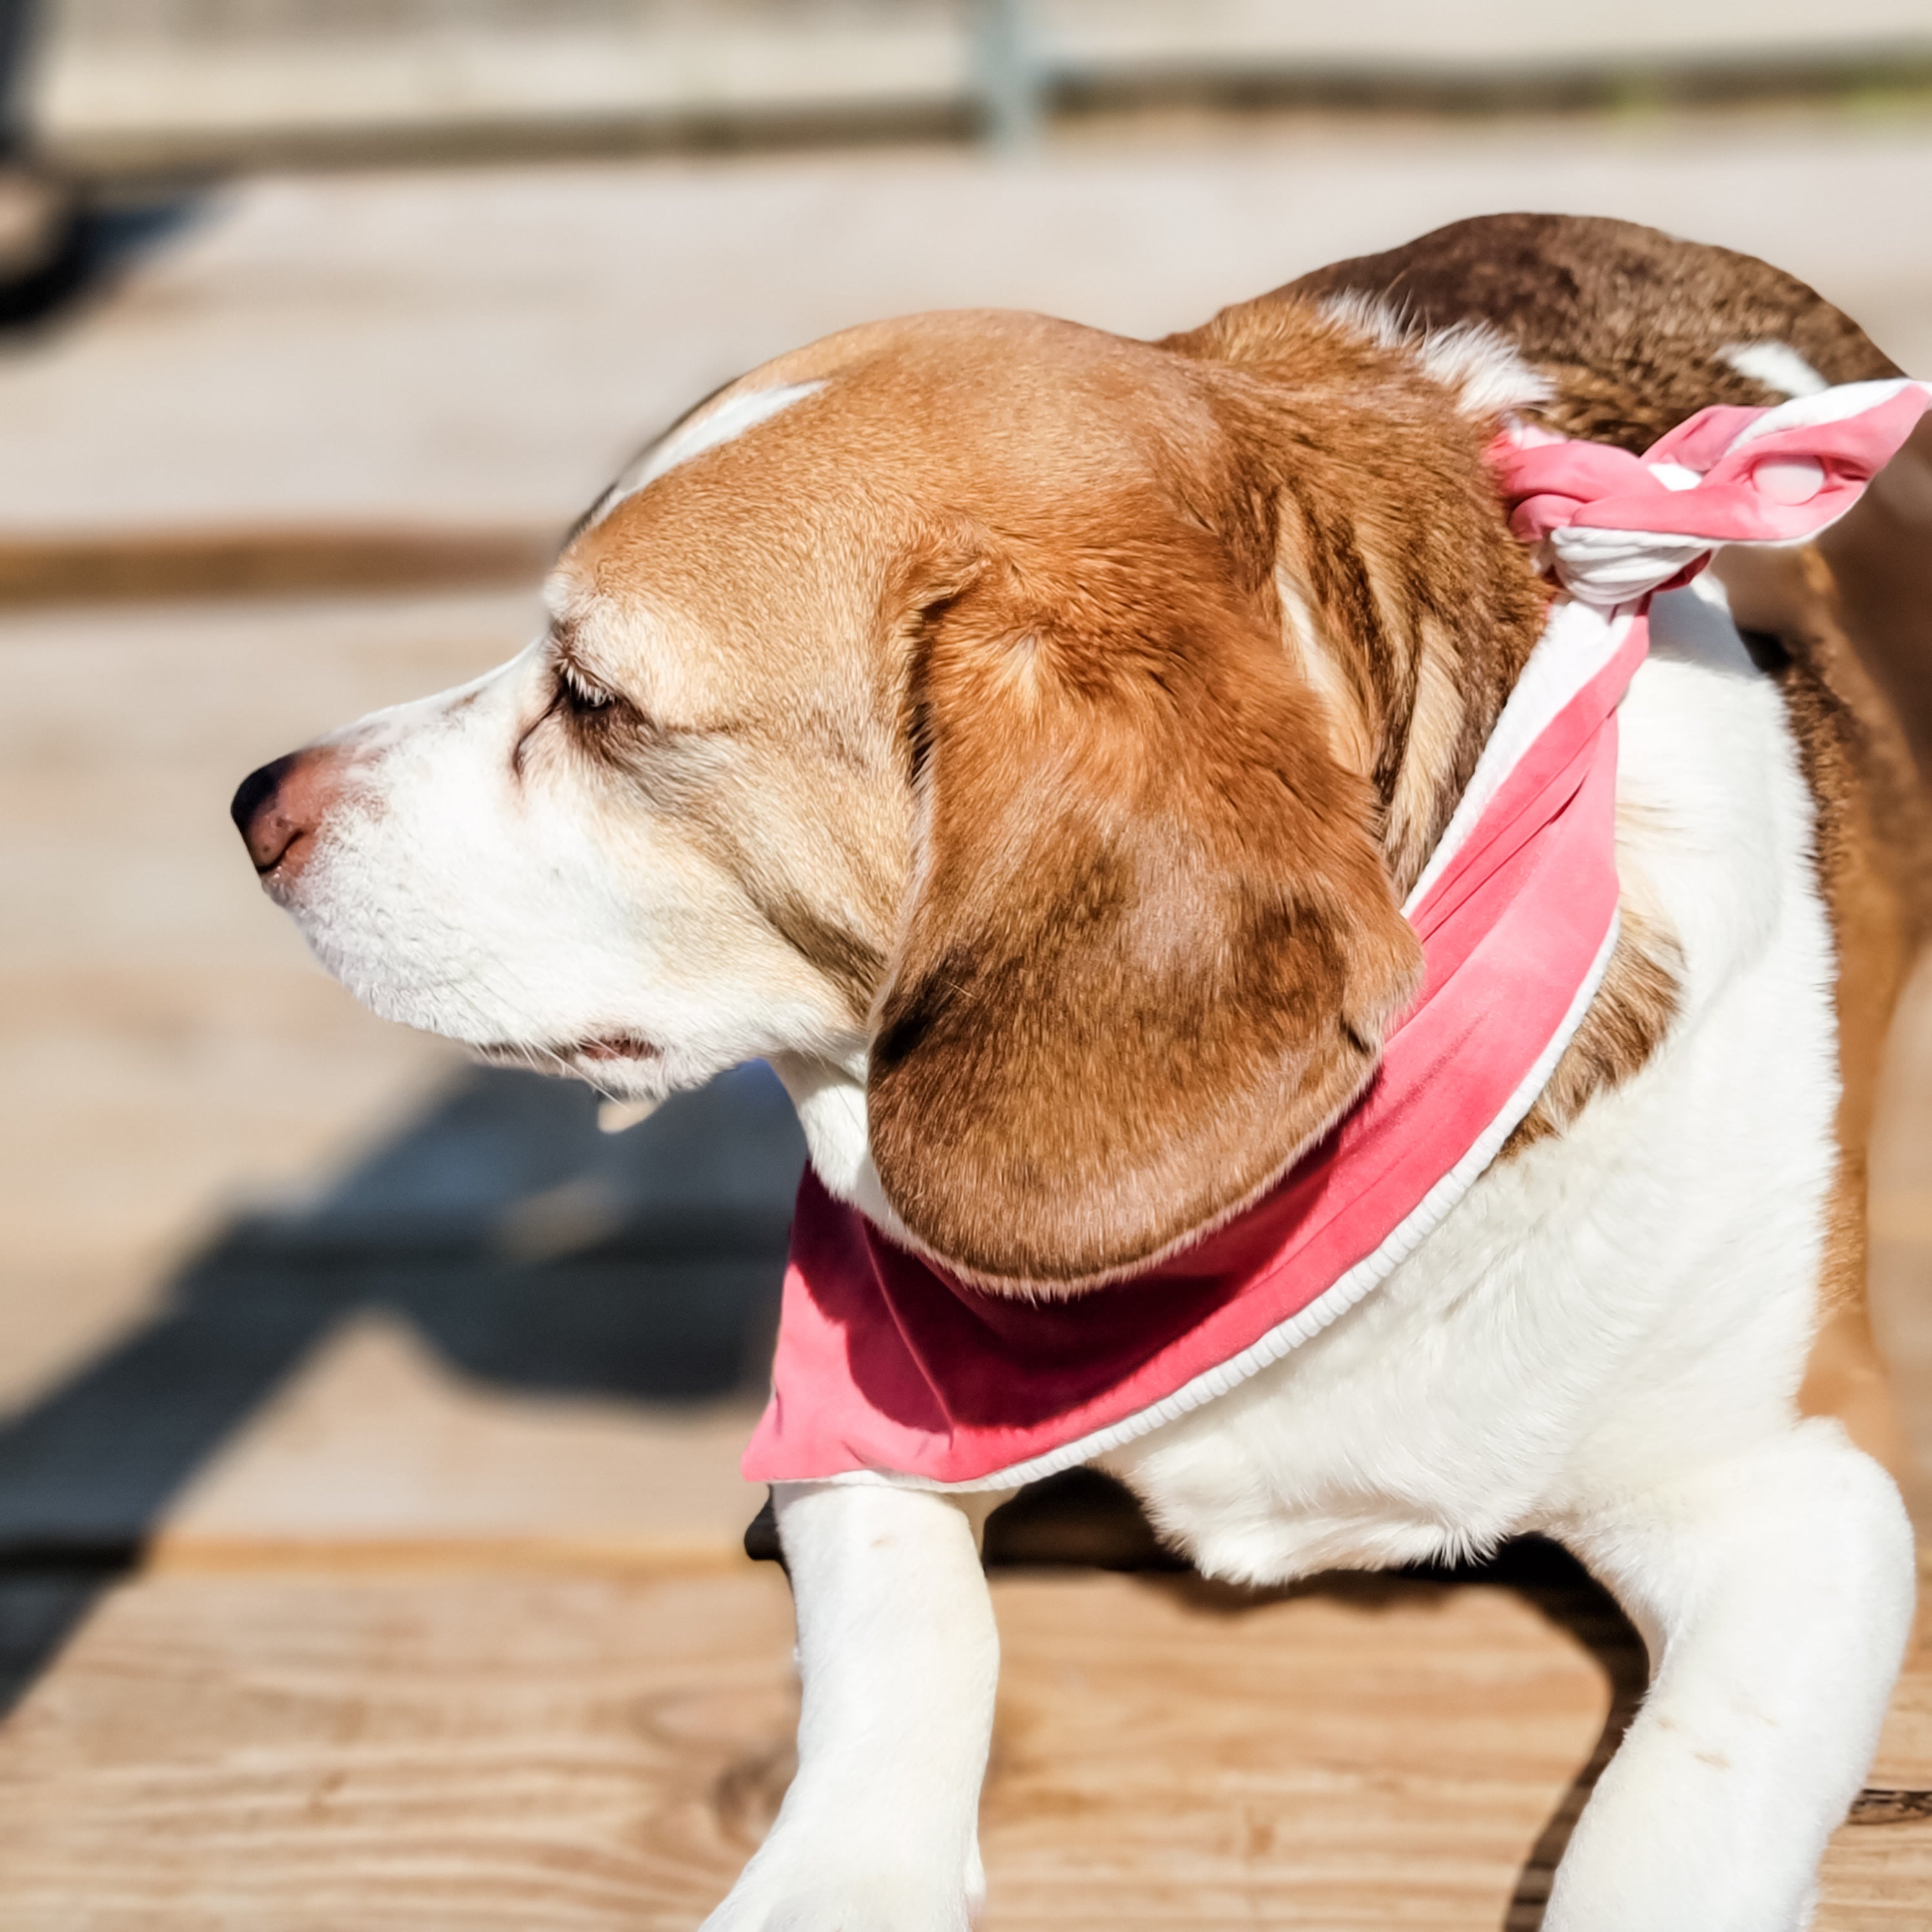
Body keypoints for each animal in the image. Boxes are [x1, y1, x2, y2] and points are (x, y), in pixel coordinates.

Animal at [234, 215, 1924, 1932]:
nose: (255, 804)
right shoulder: (867, 1425)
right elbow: (908, 1623)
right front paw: (843, 1874)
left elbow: (1667, 1823)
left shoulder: (1806, 1490)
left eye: (593, 701)